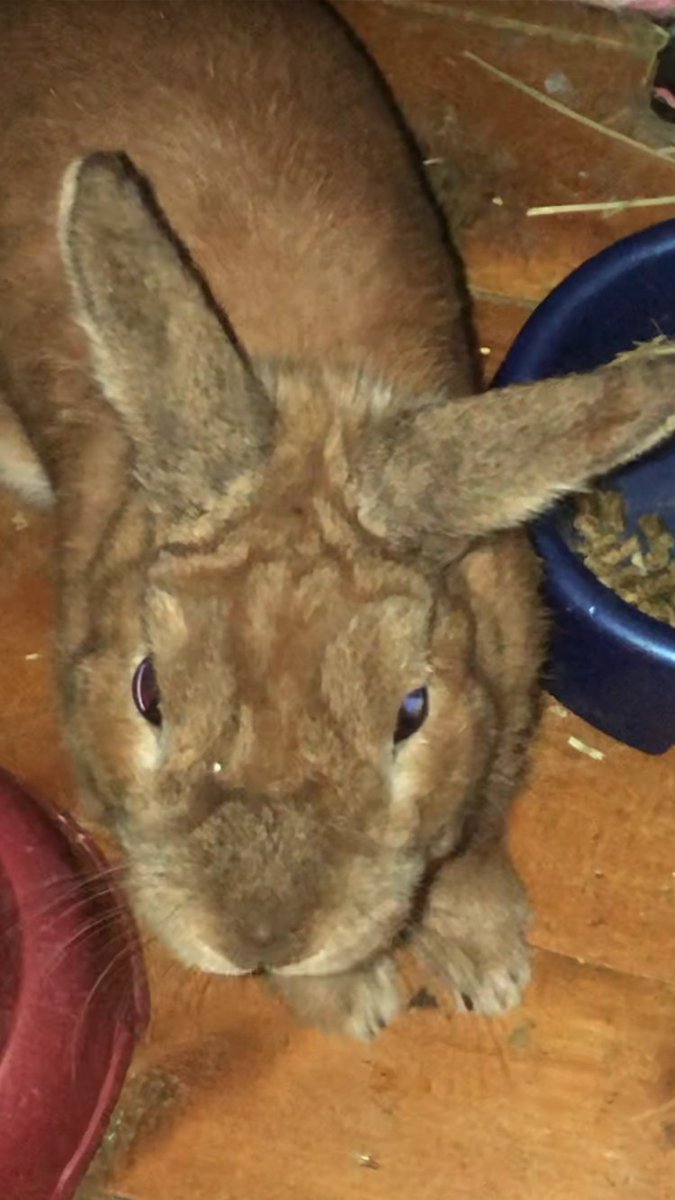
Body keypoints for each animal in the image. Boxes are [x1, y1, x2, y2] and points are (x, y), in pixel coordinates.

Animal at [2, 0, 675, 1040]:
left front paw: (489, 970)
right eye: (148, 692)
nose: (260, 938)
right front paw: (353, 1006)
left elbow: (470, 848)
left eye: (411, 712)